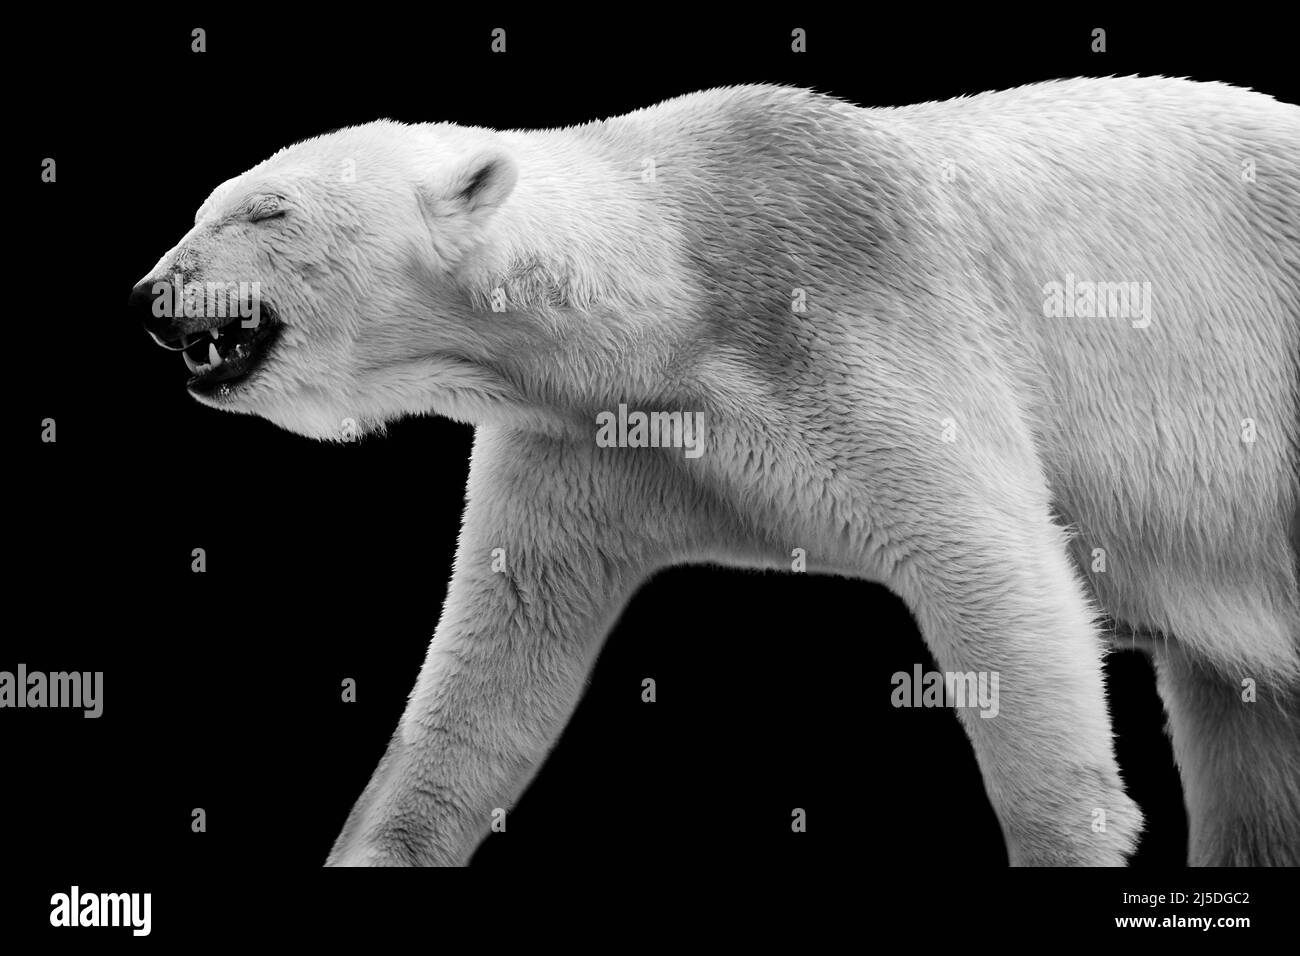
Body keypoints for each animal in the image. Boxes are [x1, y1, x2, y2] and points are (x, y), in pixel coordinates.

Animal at [129, 76, 1300, 868]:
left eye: (267, 211)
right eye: (205, 203)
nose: (150, 293)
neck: (674, 283)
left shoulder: (859, 314)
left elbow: (993, 570)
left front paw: (1072, 833)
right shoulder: (592, 439)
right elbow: (500, 654)